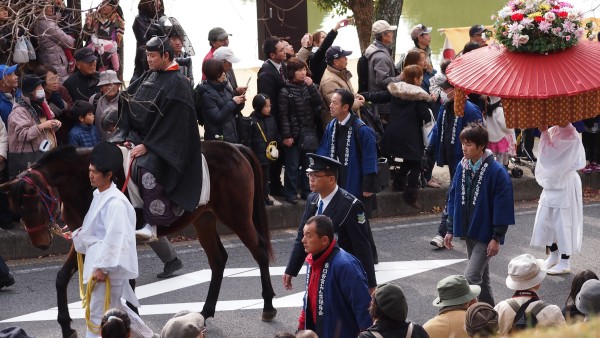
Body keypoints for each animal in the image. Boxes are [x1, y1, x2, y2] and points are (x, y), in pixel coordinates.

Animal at [4, 142, 276, 338]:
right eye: (18, 209)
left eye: (33, 204)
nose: (40, 243)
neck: (84, 183)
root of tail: (235, 147)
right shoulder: (85, 238)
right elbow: (62, 278)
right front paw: (66, 326)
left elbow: (128, 282)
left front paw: (129, 317)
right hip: (205, 219)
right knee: (218, 259)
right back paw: (205, 311)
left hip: (237, 215)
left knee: (260, 251)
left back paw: (268, 306)